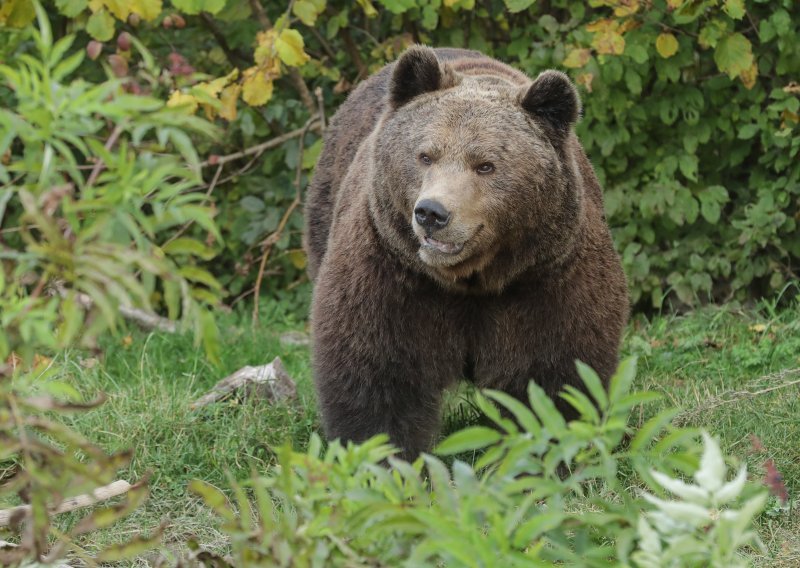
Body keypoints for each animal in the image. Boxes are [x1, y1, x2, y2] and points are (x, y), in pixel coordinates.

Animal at [304, 46, 628, 460]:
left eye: (485, 165)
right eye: (425, 155)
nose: (431, 213)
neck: (471, 279)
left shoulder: (548, 276)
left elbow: (555, 375)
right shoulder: (392, 273)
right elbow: (378, 374)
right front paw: (383, 456)